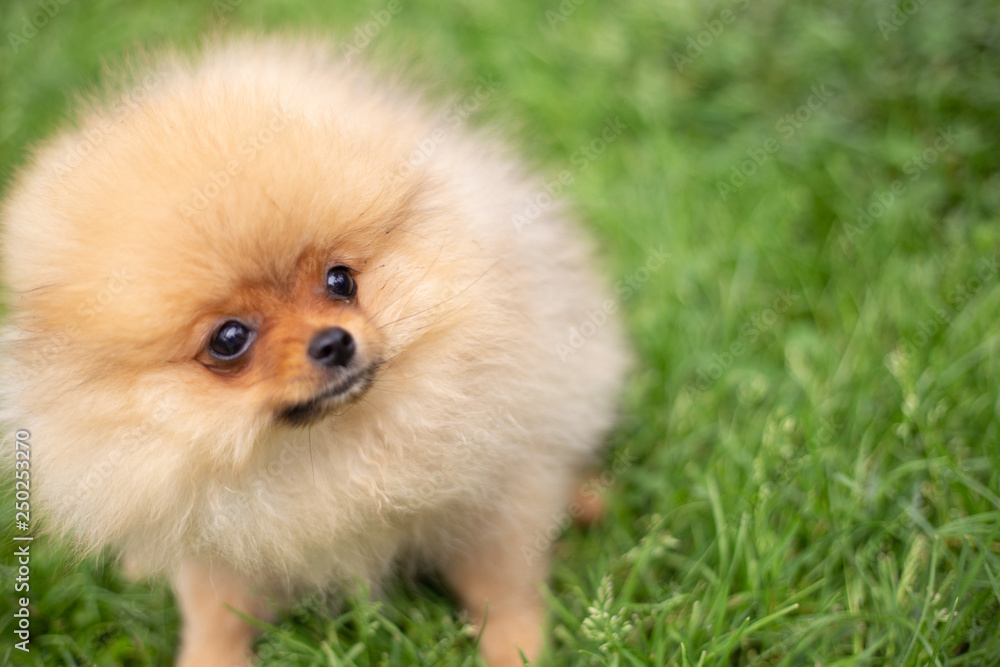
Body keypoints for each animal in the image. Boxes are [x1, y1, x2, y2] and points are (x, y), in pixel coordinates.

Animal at [0, 37, 624, 667]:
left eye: (340, 280)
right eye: (229, 339)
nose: (333, 342)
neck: (324, 447)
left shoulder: (500, 490)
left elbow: (506, 585)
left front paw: (517, 649)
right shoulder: (213, 536)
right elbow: (214, 613)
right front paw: (209, 656)